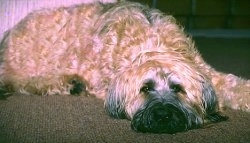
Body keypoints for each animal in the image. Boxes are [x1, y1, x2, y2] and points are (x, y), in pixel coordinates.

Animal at [0, 0, 249, 134]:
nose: (162, 115)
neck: (152, 43)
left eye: (178, 88)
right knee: (20, 82)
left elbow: (232, 83)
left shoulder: (207, 72)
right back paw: (65, 83)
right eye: (145, 88)